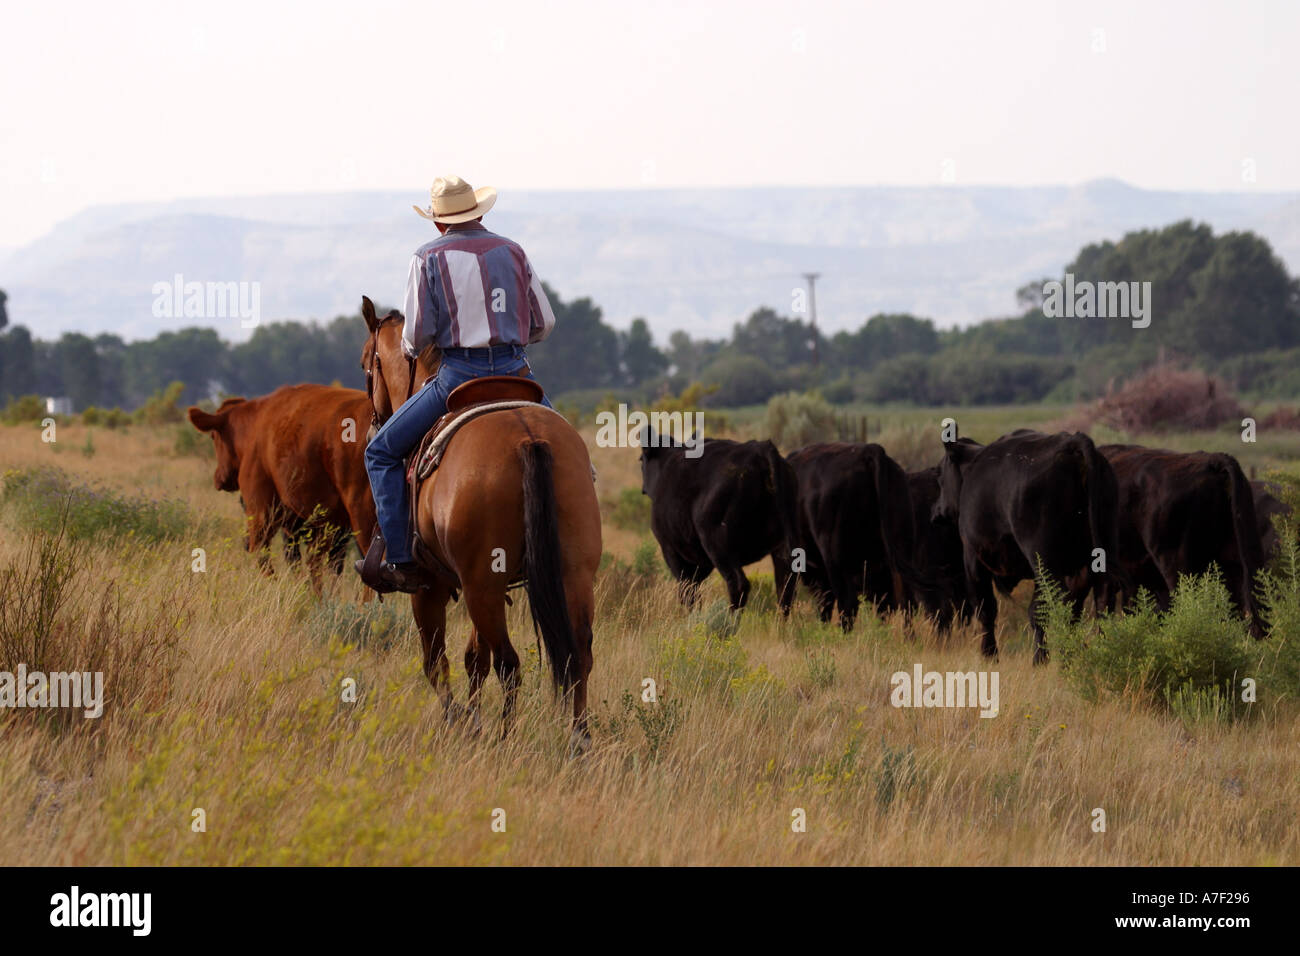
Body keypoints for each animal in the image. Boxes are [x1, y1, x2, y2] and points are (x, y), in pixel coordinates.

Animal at [187, 384, 377, 579]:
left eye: (213, 436)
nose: (218, 478)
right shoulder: (326, 525)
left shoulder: (261, 510)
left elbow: (267, 556)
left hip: (362, 513)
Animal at [640, 435, 796, 614]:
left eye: (640, 460)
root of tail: (760, 449)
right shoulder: (702, 562)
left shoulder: (670, 549)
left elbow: (686, 590)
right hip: (783, 548)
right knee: (785, 590)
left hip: (717, 543)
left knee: (738, 584)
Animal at [933, 429, 1126, 662]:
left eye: (940, 476)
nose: (936, 510)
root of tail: (1071, 443)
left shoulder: (973, 558)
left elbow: (986, 608)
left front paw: (990, 655)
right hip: (1095, 553)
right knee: (1098, 596)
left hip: (1043, 556)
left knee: (1059, 601)